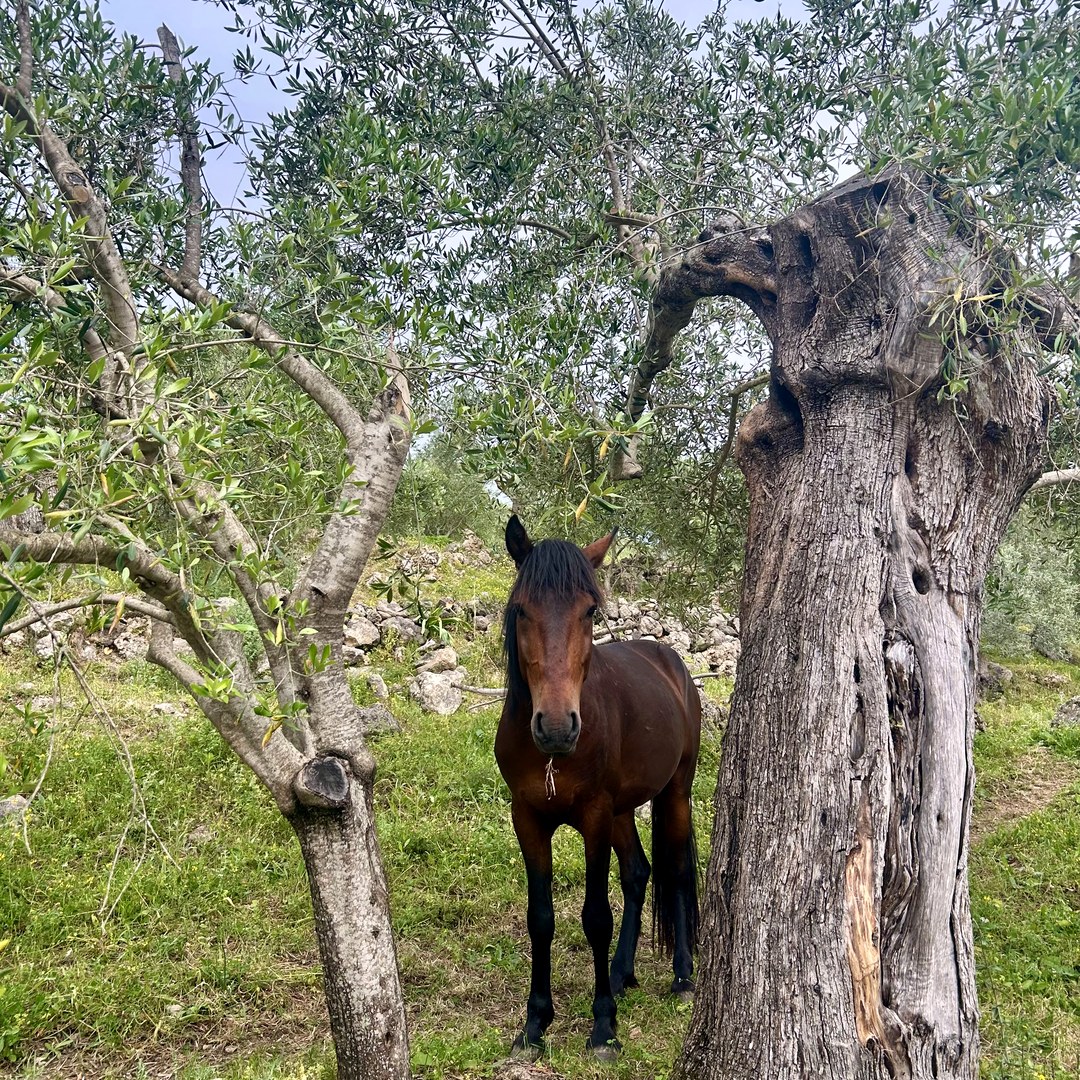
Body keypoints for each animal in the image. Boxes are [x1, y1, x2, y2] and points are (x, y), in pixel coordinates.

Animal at [495, 515, 702, 1062]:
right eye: (522, 609)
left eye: (589, 611)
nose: (556, 727)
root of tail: (669, 659)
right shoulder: (527, 819)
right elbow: (541, 917)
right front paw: (534, 1024)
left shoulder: (593, 818)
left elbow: (595, 917)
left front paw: (604, 1027)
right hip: (623, 811)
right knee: (638, 874)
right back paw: (620, 972)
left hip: (673, 793)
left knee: (675, 872)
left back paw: (682, 977)